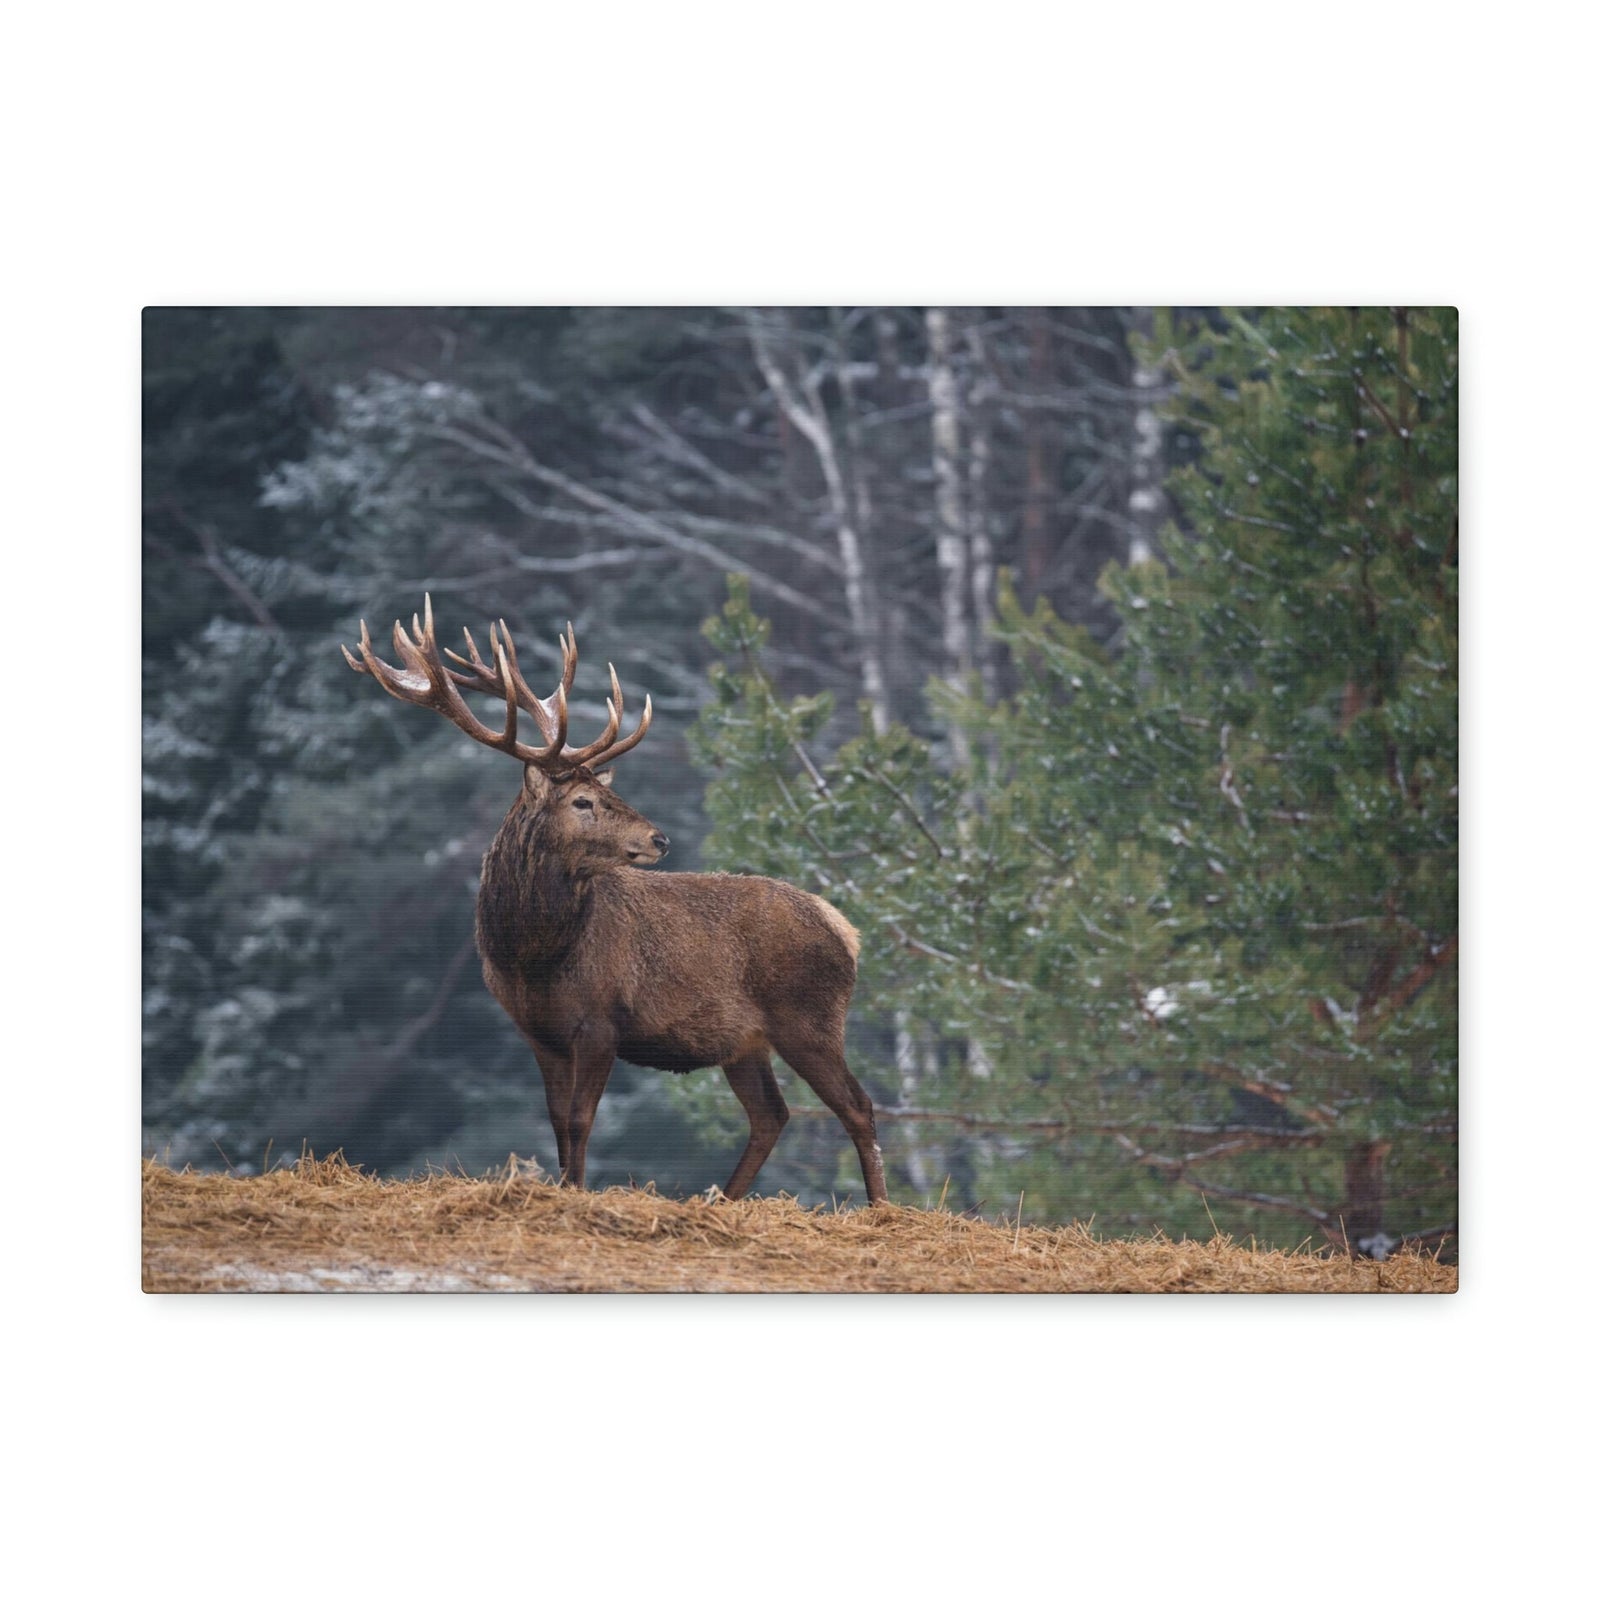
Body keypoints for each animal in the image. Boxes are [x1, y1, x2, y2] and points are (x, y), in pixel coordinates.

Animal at [344, 596, 889, 1205]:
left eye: (605, 792)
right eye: (582, 801)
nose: (660, 838)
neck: (532, 957)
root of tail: (845, 928)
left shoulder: (602, 1021)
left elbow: (582, 1121)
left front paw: (577, 1192)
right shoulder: (539, 1033)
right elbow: (558, 1122)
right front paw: (563, 1189)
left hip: (809, 1018)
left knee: (858, 1106)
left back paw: (880, 1208)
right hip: (745, 1042)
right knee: (771, 1114)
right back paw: (721, 1199)